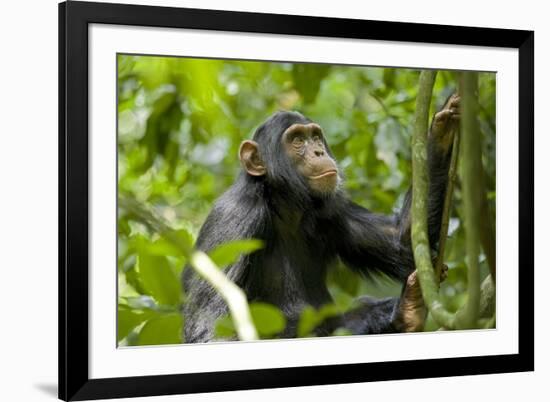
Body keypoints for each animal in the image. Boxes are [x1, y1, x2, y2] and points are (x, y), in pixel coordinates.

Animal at [182, 93, 462, 342]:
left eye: (315, 137)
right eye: (297, 140)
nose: (318, 151)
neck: (283, 205)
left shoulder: (332, 209)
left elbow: (401, 241)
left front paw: (443, 127)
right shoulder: (234, 219)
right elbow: (212, 328)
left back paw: (406, 311)